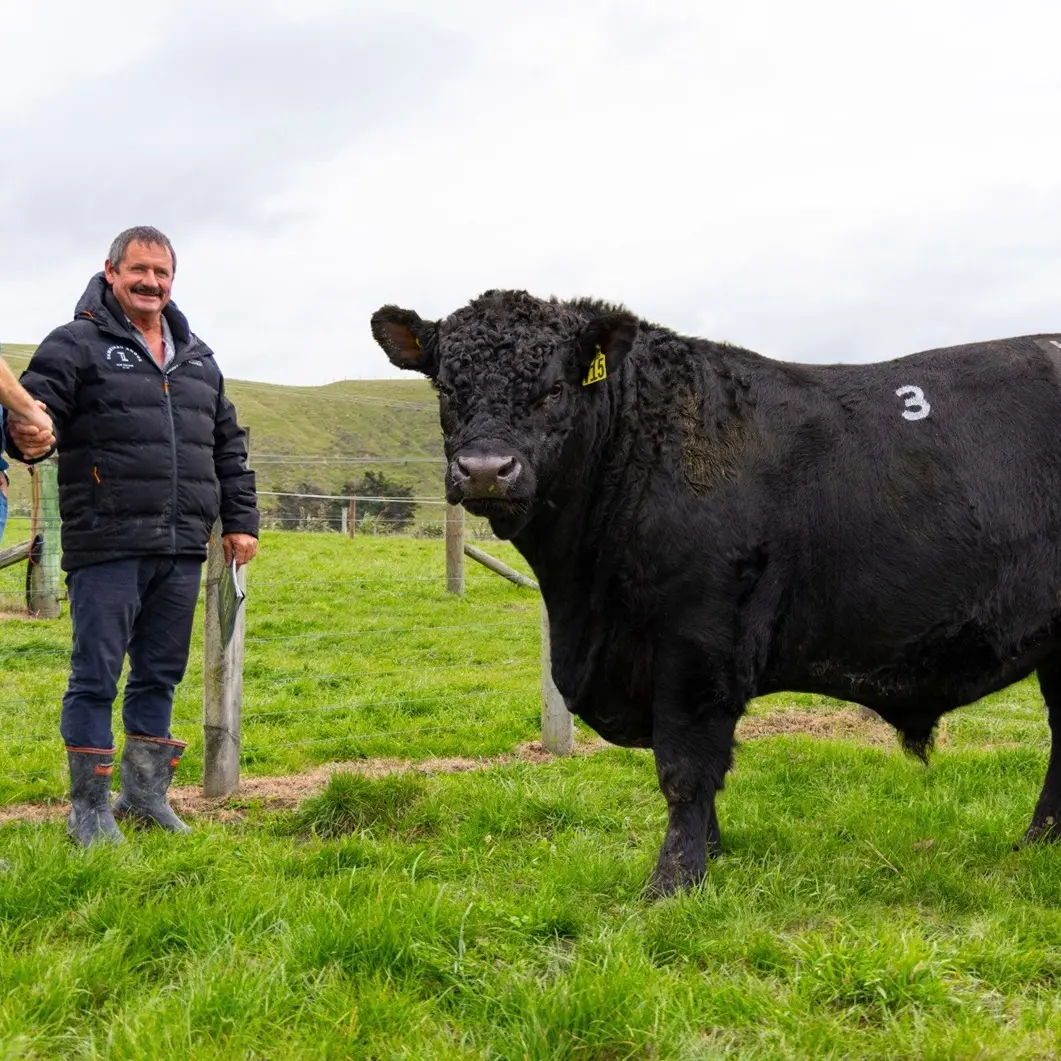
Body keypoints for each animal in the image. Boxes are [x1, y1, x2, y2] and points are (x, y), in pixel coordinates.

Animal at [371, 290, 1061, 896]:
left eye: (555, 388)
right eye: (446, 388)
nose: (486, 470)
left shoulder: (698, 643)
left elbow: (685, 767)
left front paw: (674, 881)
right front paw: (714, 853)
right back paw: (1040, 841)